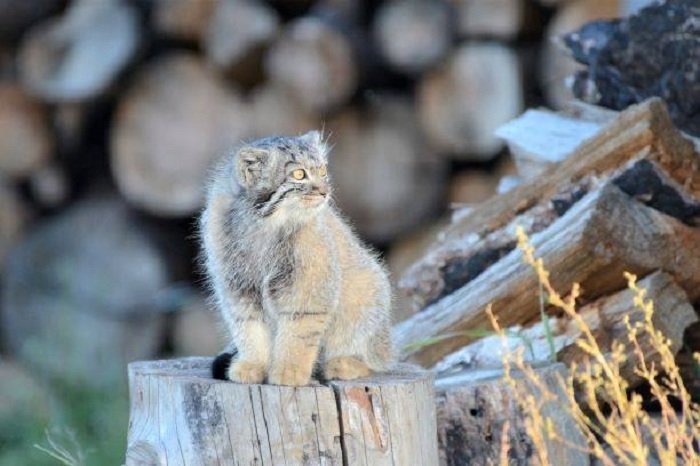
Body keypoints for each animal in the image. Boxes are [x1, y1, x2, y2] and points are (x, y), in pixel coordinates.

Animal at [200, 131, 394, 386]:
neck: (263, 226)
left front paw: (289, 372)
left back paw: (343, 364)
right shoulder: (237, 288)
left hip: (367, 297)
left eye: (322, 170)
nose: (325, 191)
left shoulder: (308, 288)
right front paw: (252, 365)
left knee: (374, 358)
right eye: (299, 174)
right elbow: (249, 330)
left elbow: (298, 335)